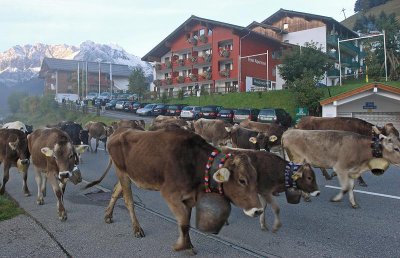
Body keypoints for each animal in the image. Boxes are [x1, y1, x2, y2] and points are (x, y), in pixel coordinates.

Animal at [86, 127, 264, 254]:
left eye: (256, 177)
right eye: (242, 180)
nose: (258, 210)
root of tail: (118, 132)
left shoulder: (188, 198)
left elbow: (186, 222)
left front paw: (189, 244)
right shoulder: (169, 194)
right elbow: (184, 222)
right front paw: (181, 246)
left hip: (127, 174)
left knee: (116, 191)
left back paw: (108, 215)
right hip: (122, 171)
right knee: (128, 200)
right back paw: (136, 229)